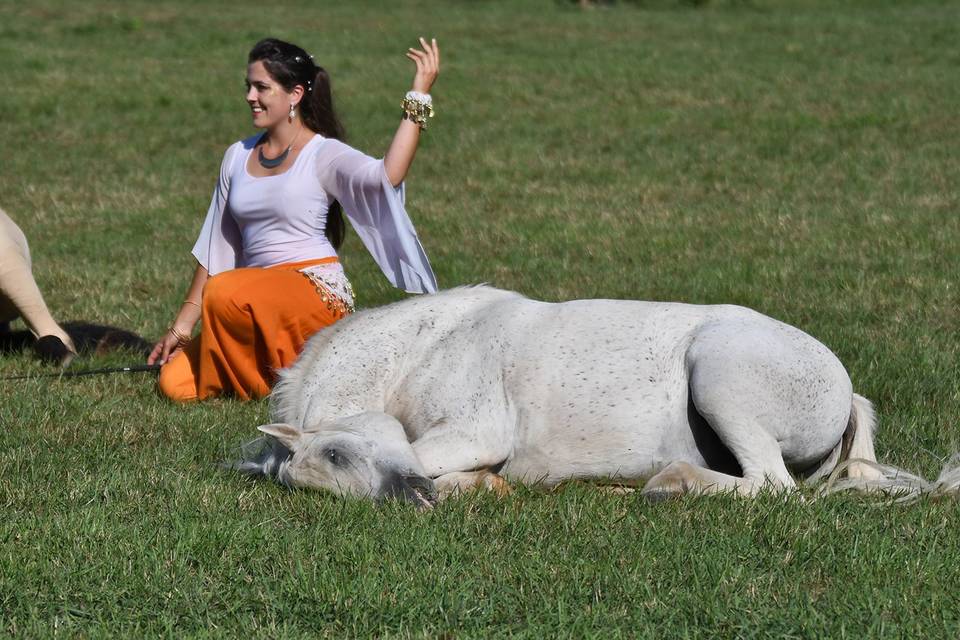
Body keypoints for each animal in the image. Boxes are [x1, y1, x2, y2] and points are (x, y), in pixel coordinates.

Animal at [232, 286, 960, 504]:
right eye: (334, 460)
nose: (411, 496)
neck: (420, 349)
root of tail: (845, 386)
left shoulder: (471, 431)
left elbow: (440, 456)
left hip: (719, 374)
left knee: (769, 485)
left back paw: (671, 482)